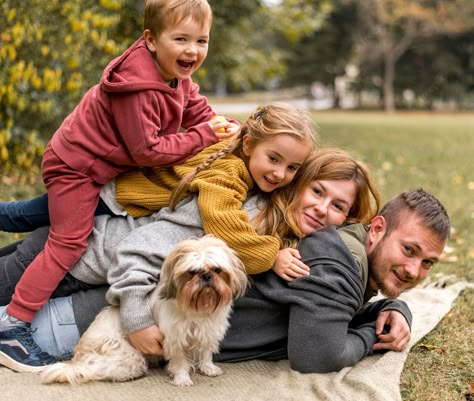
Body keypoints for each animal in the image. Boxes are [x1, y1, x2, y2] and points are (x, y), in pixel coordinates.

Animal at [40, 234, 248, 384]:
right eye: (192, 272)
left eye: (217, 269)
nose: (206, 276)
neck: (197, 307)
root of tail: (80, 359)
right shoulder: (174, 339)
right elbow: (180, 360)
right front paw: (182, 378)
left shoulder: (209, 331)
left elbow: (205, 352)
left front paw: (208, 368)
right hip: (130, 357)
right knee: (99, 371)